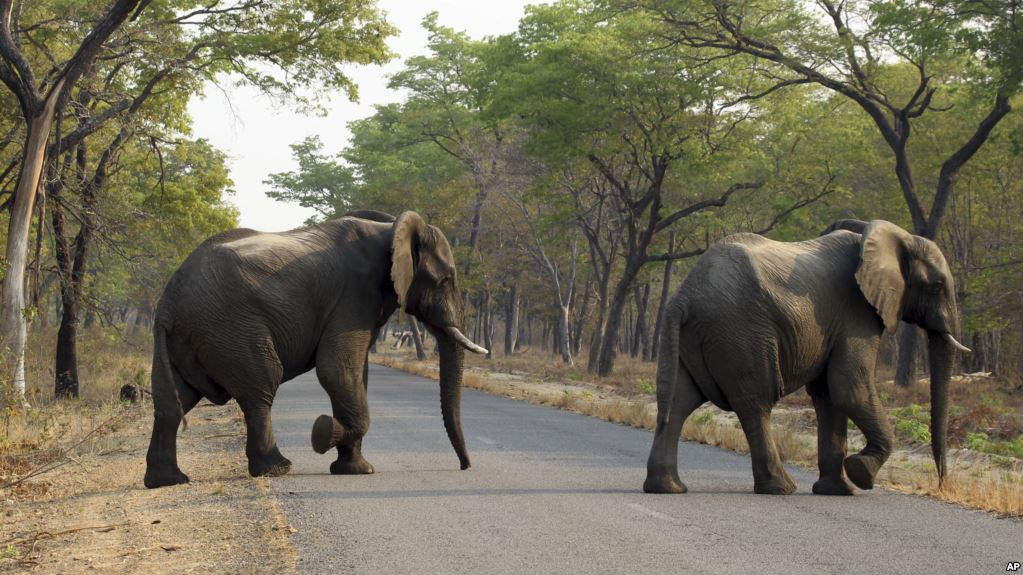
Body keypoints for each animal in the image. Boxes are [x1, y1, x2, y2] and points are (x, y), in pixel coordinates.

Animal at [143, 207, 486, 484]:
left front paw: (356, 470)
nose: (465, 466)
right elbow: (336, 371)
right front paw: (322, 433)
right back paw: (277, 468)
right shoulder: (354, 294)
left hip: (188, 337)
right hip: (229, 326)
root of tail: (168, 299)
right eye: (445, 280)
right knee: (261, 387)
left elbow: (355, 374)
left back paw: (168, 481)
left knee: (172, 401)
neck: (391, 228)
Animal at [642, 216, 969, 495]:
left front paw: (837, 491)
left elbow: (828, 395)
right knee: (755, 402)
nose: (942, 483)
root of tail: (684, 296)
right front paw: (861, 473)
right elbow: (849, 388)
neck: (891, 236)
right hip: (740, 332)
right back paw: (781, 488)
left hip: (695, 335)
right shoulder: (856, 314)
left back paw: (667, 488)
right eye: (937, 285)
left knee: (678, 401)